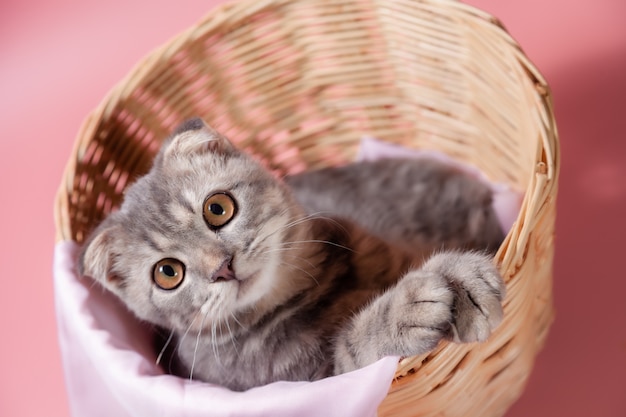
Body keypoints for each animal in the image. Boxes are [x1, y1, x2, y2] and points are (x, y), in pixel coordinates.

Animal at [79, 117, 508, 390]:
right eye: (168, 273)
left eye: (217, 208)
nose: (222, 267)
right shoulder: (315, 378)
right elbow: (354, 344)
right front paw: (411, 306)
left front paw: (462, 280)